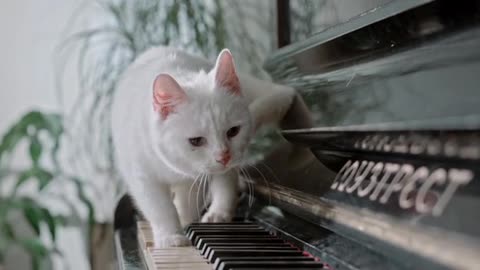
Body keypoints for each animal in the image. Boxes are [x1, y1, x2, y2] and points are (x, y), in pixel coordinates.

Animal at [112, 46, 294, 247]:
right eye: (196, 141)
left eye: (233, 131)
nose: (224, 156)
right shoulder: (143, 177)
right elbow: (161, 208)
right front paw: (171, 236)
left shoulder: (196, 180)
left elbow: (189, 203)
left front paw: (187, 223)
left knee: (225, 183)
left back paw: (218, 214)